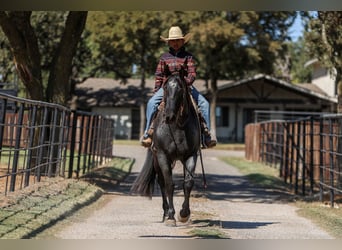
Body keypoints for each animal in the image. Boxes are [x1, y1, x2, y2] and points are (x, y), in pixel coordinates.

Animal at [130, 62, 200, 227]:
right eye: (166, 87)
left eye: (180, 88)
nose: (169, 116)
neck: (178, 127)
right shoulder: (163, 156)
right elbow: (169, 184)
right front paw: (171, 217)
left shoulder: (191, 155)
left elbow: (188, 183)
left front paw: (184, 214)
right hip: (157, 160)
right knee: (161, 182)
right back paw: (165, 212)